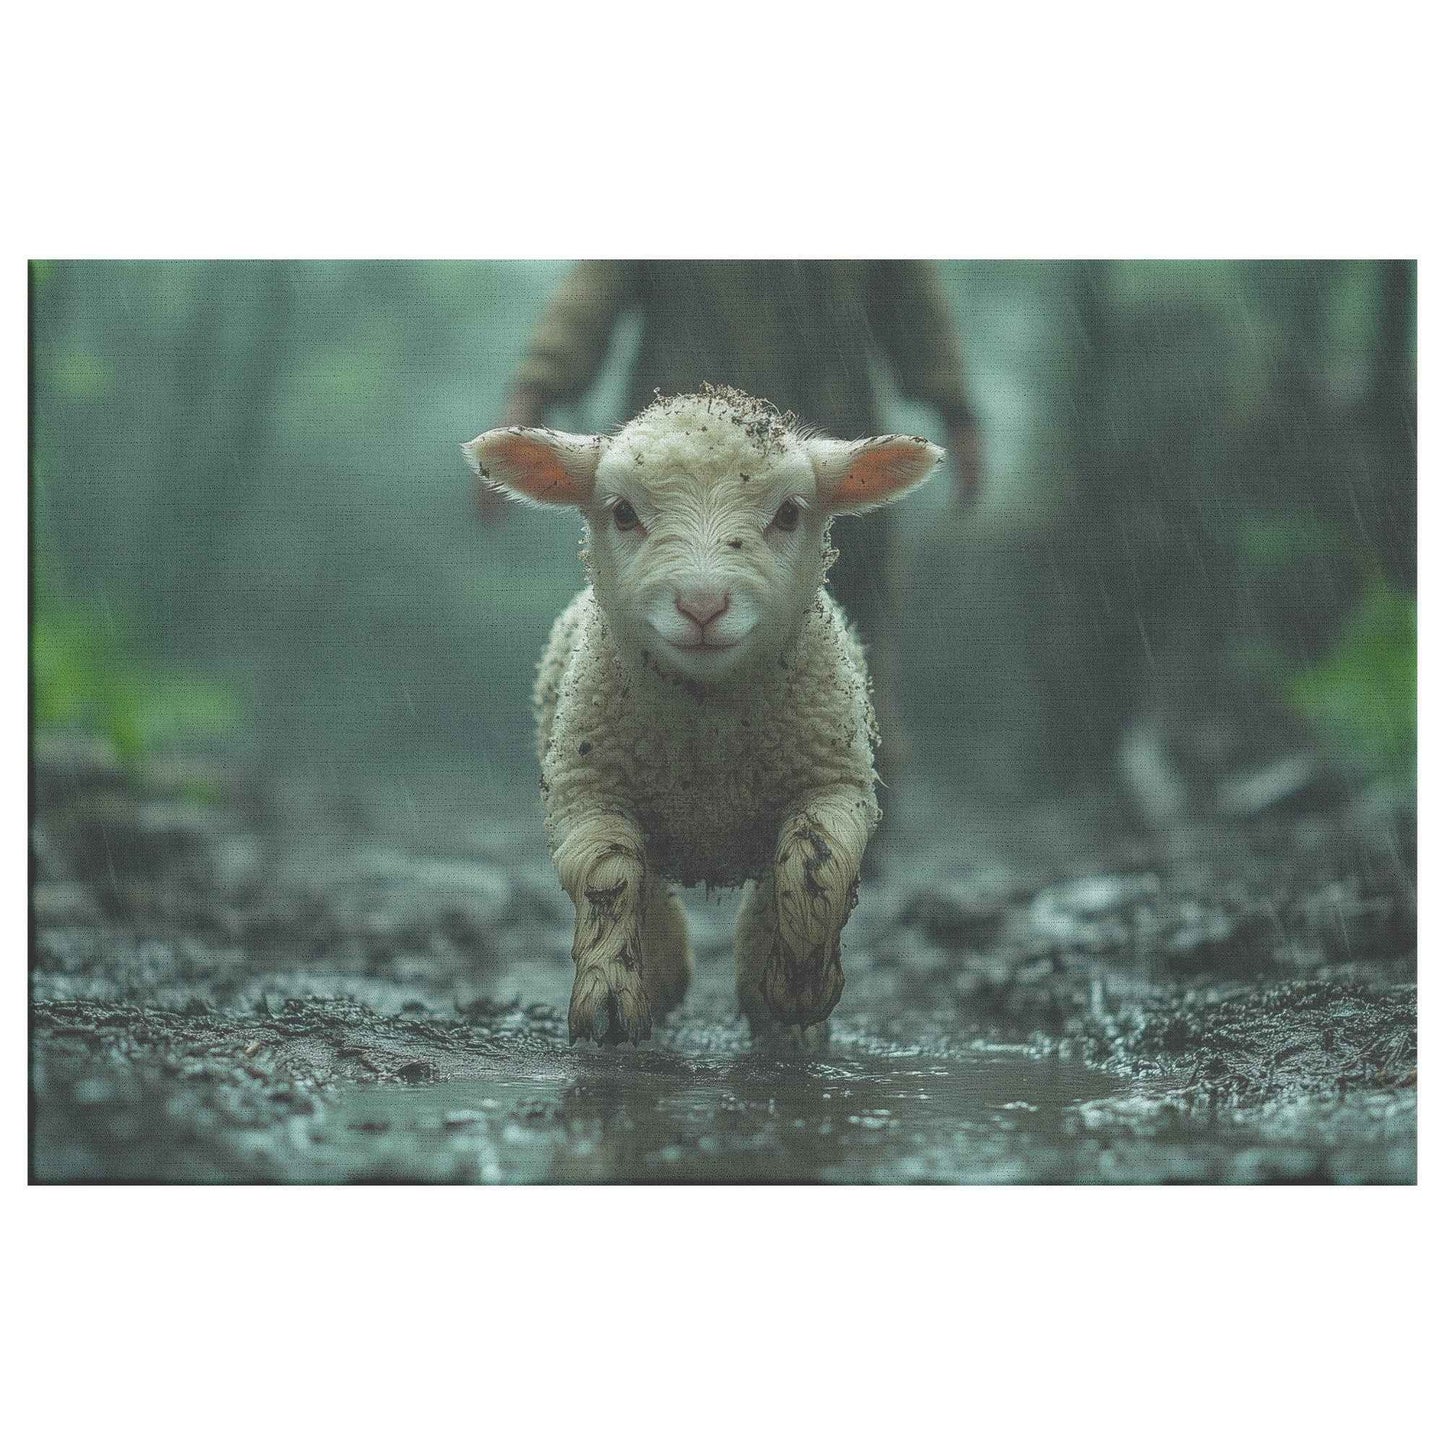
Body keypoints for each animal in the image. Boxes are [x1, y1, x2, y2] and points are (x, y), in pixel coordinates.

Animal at [463, 385, 943, 1045]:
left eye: (789, 514)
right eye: (622, 513)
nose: (702, 604)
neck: (708, 733)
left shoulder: (836, 783)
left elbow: (816, 866)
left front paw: (799, 990)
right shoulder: (585, 791)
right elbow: (608, 876)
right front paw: (610, 1000)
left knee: (775, 884)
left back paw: (774, 1008)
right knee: (649, 886)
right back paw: (667, 979)